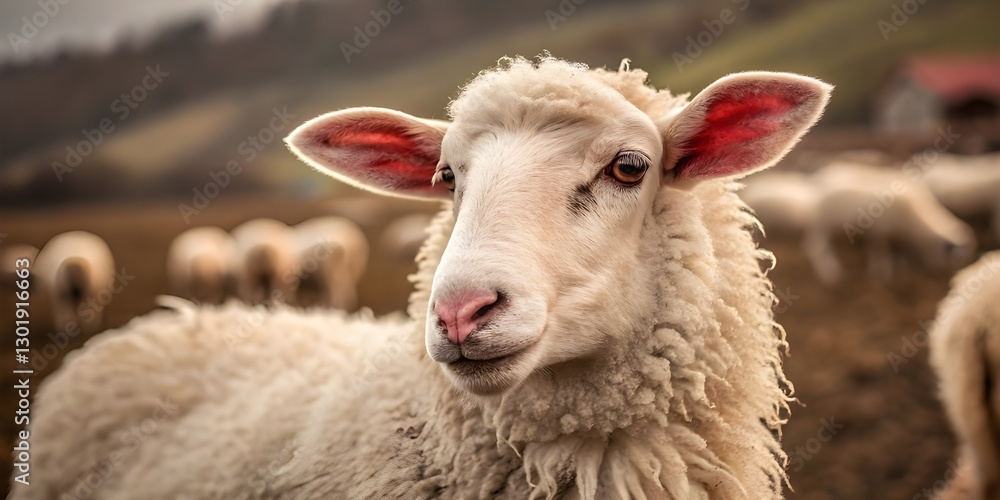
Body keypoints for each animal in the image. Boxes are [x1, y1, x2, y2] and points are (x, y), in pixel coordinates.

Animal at [802, 162, 976, 286]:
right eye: (955, 259)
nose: (952, 280)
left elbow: (896, 253)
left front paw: (900, 268)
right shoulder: (879, 231)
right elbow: (880, 253)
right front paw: (882, 272)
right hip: (824, 224)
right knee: (817, 247)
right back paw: (830, 271)